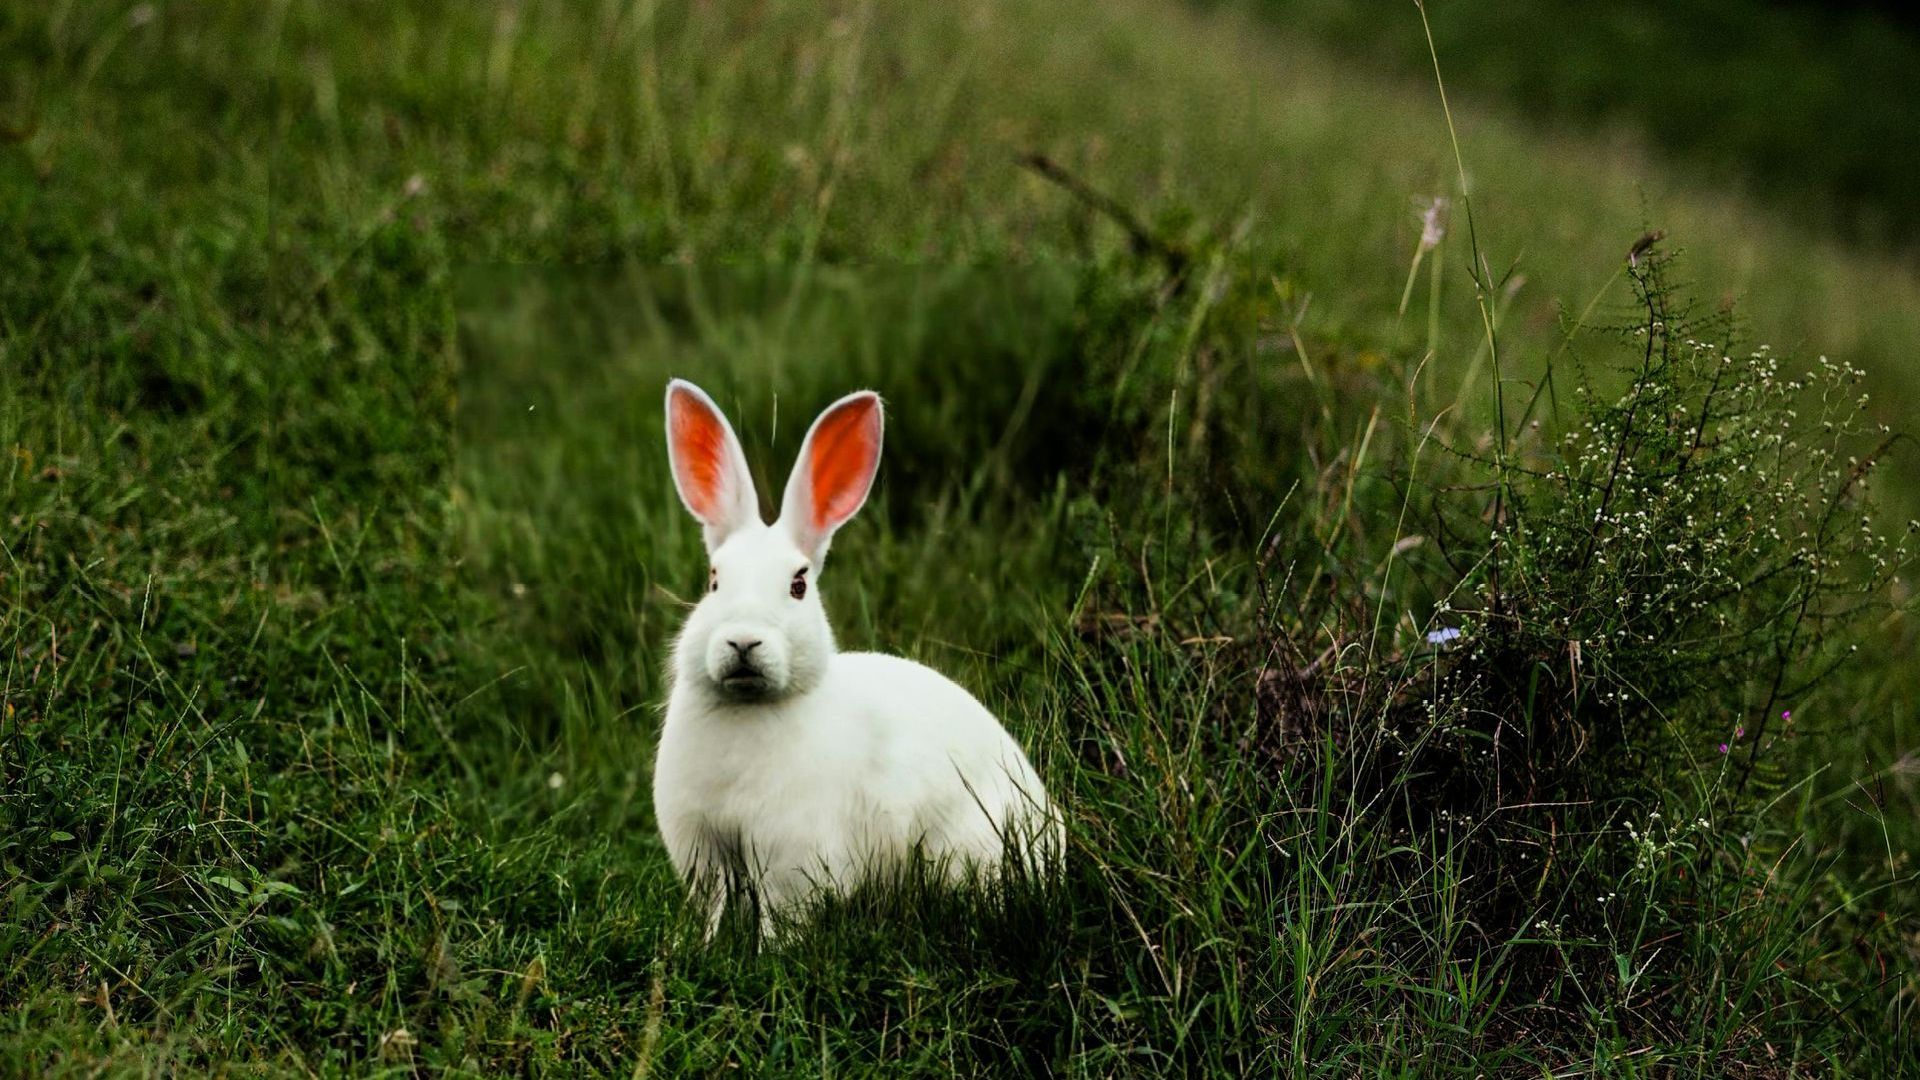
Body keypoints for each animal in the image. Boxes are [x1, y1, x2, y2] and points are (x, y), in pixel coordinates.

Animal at [652, 378, 1060, 938]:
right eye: (714, 580)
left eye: (798, 585)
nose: (743, 642)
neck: (749, 708)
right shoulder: (707, 852)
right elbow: (715, 909)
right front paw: (697, 947)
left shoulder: (789, 861)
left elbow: (781, 922)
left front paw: (770, 954)